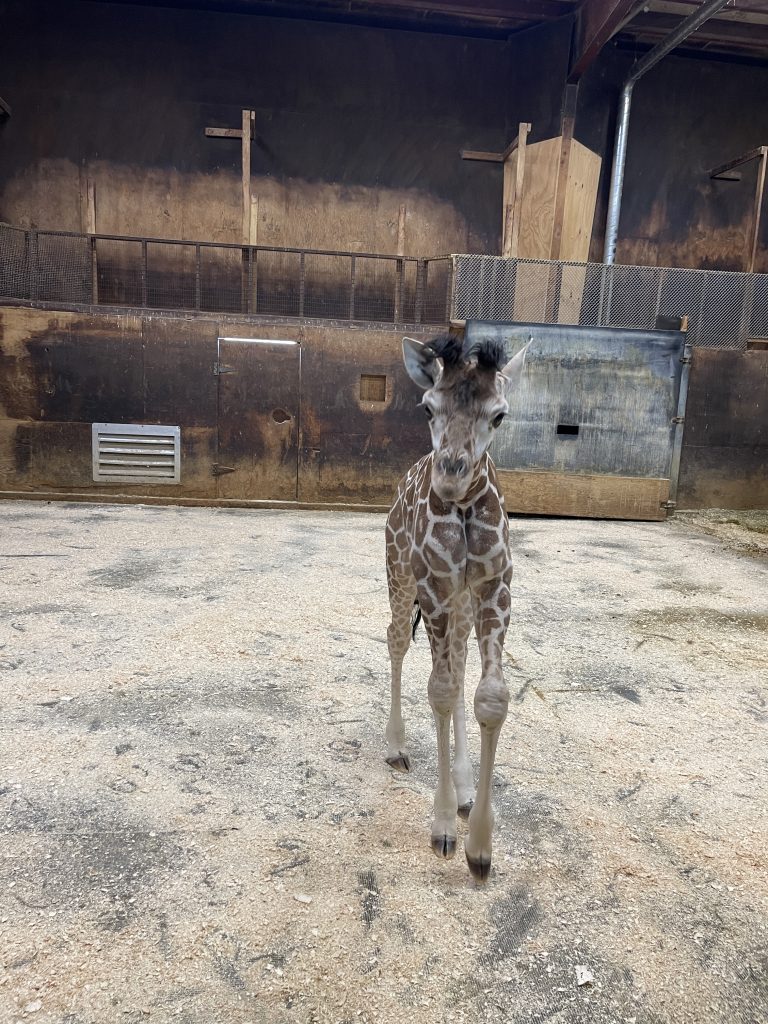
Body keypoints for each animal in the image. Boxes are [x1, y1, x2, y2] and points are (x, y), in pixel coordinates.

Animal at [385, 331, 528, 876]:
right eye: (428, 407)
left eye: (499, 415)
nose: (450, 479)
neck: (465, 511)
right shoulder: (436, 584)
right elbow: (441, 690)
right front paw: (444, 826)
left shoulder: (495, 586)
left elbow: (490, 695)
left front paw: (480, 844)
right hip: (400, 574)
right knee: (396, 641)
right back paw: (396, 748)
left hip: (463, 605)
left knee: (461, 663)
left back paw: (467, 789)